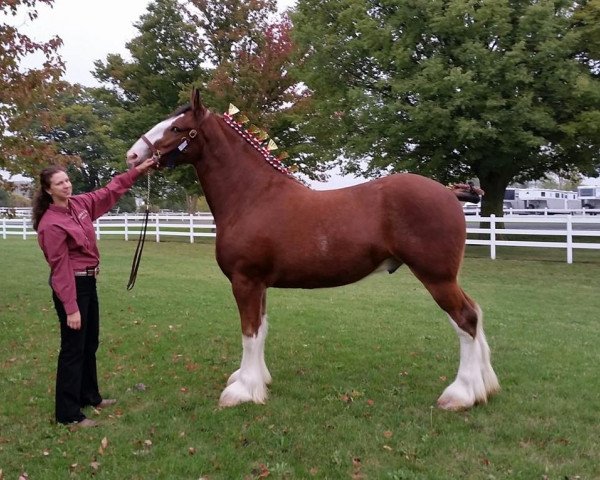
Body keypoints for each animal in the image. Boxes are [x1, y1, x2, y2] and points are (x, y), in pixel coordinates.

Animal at [124, 88, 500, 410]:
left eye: (176, 127)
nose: (133, 155)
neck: (252, 197)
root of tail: (448, 193)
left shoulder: (245, 281)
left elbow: (249, 333)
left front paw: (243, 391)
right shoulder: (259, 284)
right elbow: (261, 329)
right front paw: (258, 380)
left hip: (437, 277)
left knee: (465, 319)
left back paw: (461, 395)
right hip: (446, 277)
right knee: (475, 313)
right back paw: (484, 387)